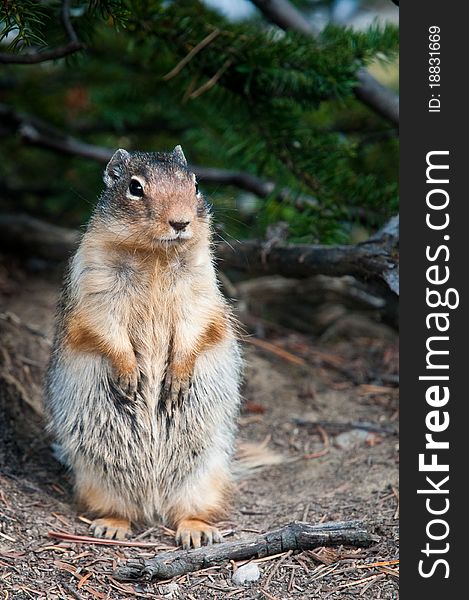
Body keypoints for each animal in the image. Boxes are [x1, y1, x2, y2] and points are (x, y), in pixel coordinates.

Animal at [44, 145, 241, 548]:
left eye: (195, 184)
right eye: (135, 188)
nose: (180, 222)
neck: (155, 256)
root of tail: (153, 503)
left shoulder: (200, 287)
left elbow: (197, 324)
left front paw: (177, 377)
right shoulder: (96, 286)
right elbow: (105, 328)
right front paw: (129, 374)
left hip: (204, 475)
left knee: (191, 510)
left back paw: (196, 531)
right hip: (97, 478)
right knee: (119, 509)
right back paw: (111, 525)